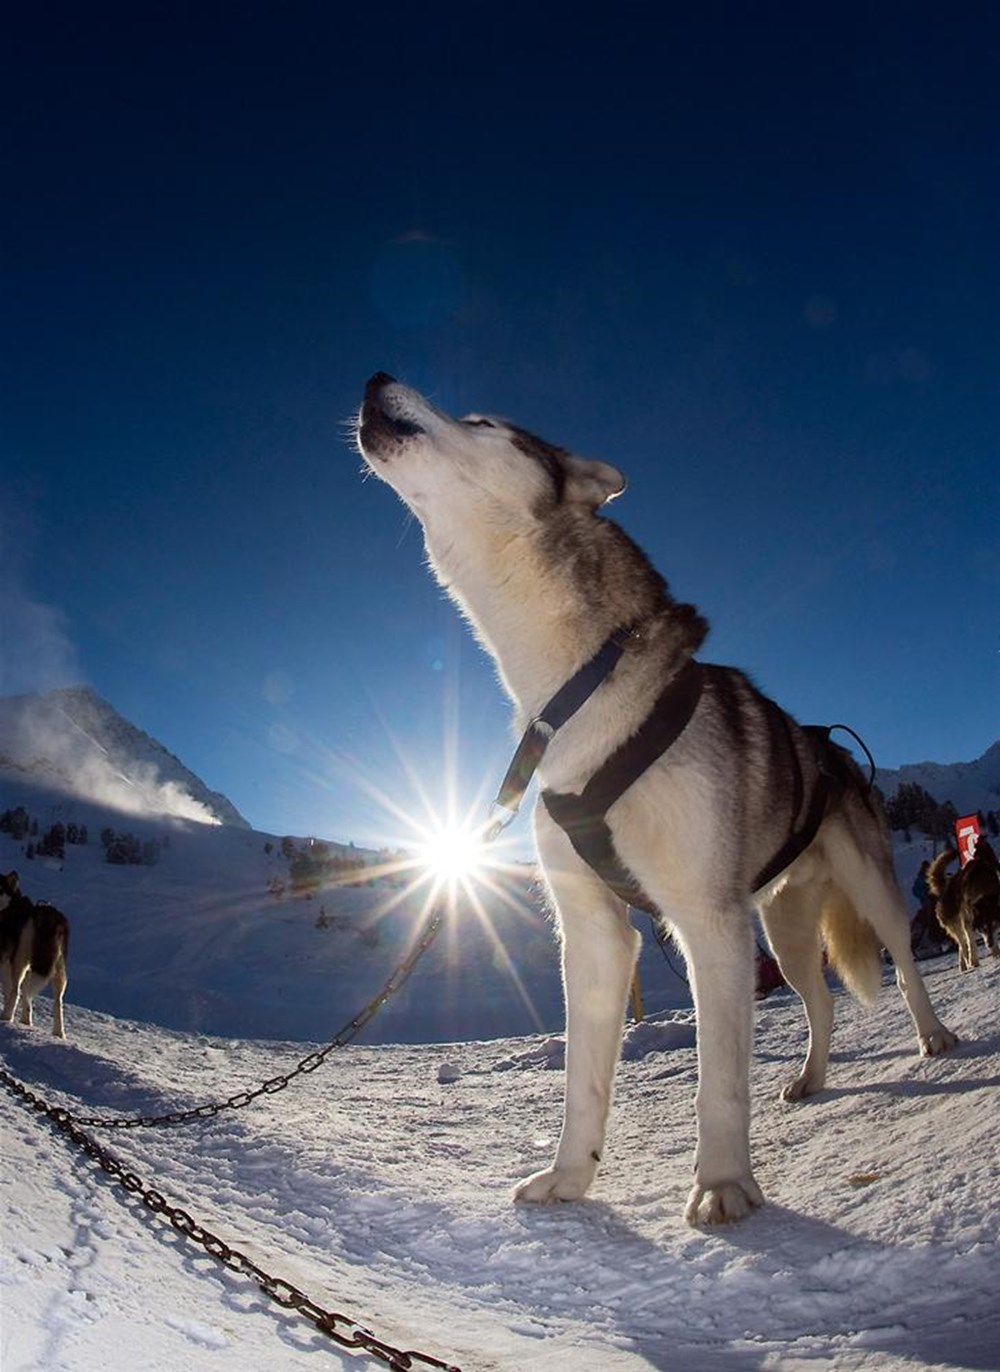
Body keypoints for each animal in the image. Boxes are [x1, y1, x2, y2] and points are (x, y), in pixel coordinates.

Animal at [0, 872, 69, 1031]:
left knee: (16, 990)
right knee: (57, 1001)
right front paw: (26, 1021)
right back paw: (58, 1033)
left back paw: (6, 1017)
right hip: (57, 968)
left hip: (19, 961)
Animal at [353, 373, 954, 1223]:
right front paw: (569, 1179)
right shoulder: (595, 932)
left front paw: (724, 1183)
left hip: (862, 892)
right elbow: (582, 1084)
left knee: (901, 966)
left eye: (483, 420)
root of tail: (830, 745)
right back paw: (810, 1079)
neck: (577, 692)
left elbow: (718, 1083)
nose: (375, 378)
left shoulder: (707, 921)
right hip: (779, 930)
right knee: (822, 1004)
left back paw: (934, 1036)